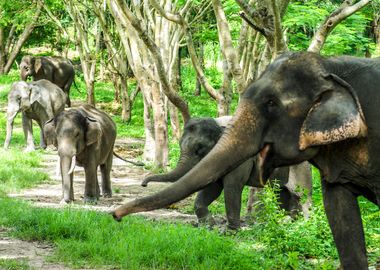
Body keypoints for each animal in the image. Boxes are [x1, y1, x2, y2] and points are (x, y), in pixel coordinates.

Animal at [142, 117, 312, 229]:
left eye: (199, 148)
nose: (144, 184)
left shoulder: (241, 157)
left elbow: (232, 186)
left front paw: (231, 231)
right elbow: (214, 188)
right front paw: (208, 226)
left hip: (301, 168)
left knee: (301, 194)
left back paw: (304, 222)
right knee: (282, 192)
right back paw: (288, 220)